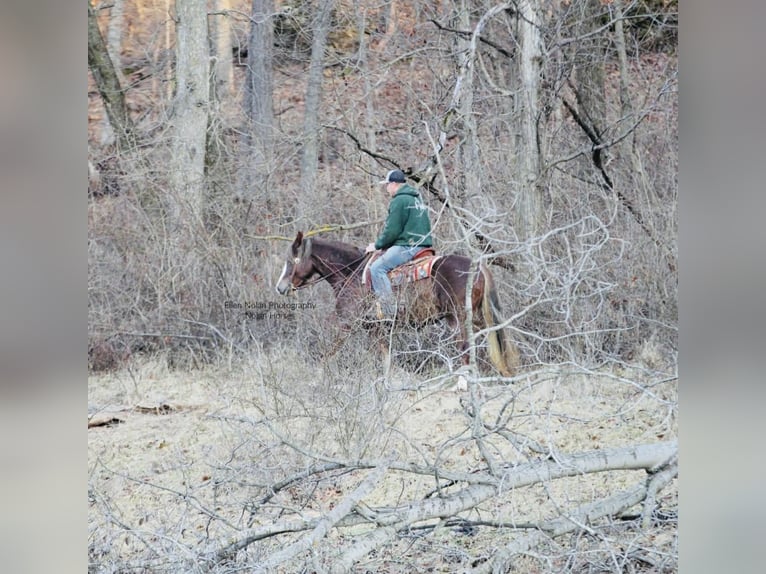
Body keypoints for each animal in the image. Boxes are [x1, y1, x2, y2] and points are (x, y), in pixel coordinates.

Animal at [274, 231, 519, 377]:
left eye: (292, 260)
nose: (280, 287)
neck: (351, 272)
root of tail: (478, 266)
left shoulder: (347, 324)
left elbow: (329, 351)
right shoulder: (376, 328)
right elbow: (386, 358)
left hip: (458, 319)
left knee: (467, 348)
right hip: (477, 317)